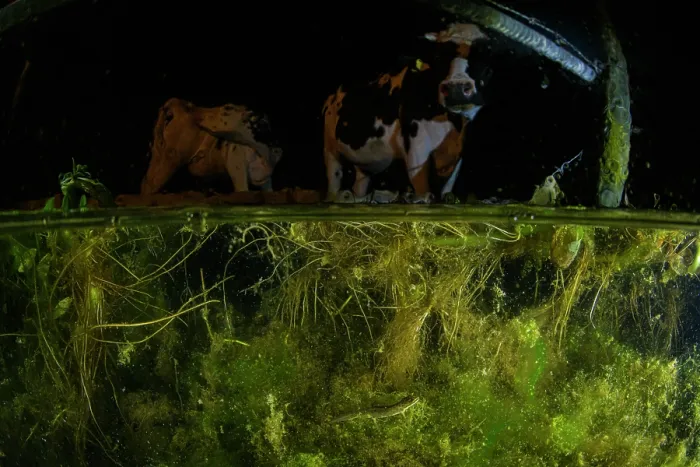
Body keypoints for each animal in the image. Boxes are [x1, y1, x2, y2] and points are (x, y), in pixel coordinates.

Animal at [141, 98, 283, 195]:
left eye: (227, 108)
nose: (198, 114)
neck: (263, 152)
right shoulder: (237, 169)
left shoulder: (267, 179)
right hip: (168, 160)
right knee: (148, 186)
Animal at [322, 23, 487, 202]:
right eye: (437, 56)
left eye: (486, 57)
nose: (457, 88)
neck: (452, 125)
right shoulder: (416, 149)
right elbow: (424, 191)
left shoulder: (456, 159)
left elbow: (446, 192)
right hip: (330, 150)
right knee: (334, 180)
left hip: (364, 163)